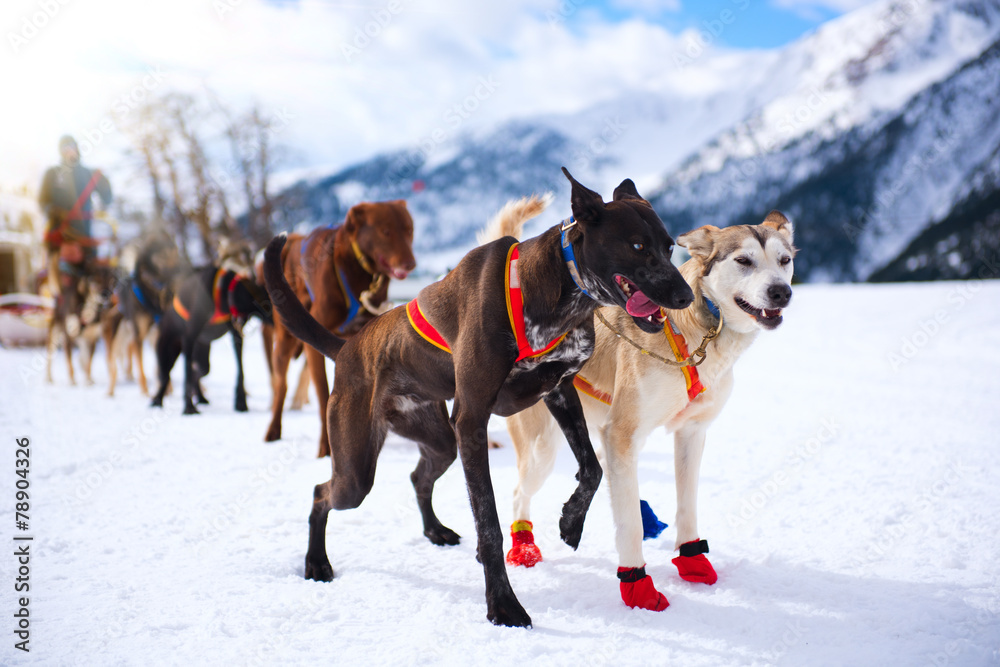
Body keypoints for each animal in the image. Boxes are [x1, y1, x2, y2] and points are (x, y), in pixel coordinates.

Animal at [152, 264, 272, 412]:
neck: (224, 290)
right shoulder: (189, 337)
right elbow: (186, 374)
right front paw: (189, 407)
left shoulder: (237, 337)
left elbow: (241, 371)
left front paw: (241, 402)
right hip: (167, 353)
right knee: (166, 377)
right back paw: (157, 400)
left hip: (202, 357)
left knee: (197, 371)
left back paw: (200, 397)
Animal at [264, 201, 416, 456]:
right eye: (385, 231)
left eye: (409, 230)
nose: (411, 263)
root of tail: (294, 242)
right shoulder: (315, 344)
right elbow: (323, 394)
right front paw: (326, 447)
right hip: (284, 341)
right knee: (281, 386)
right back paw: (273, 429)